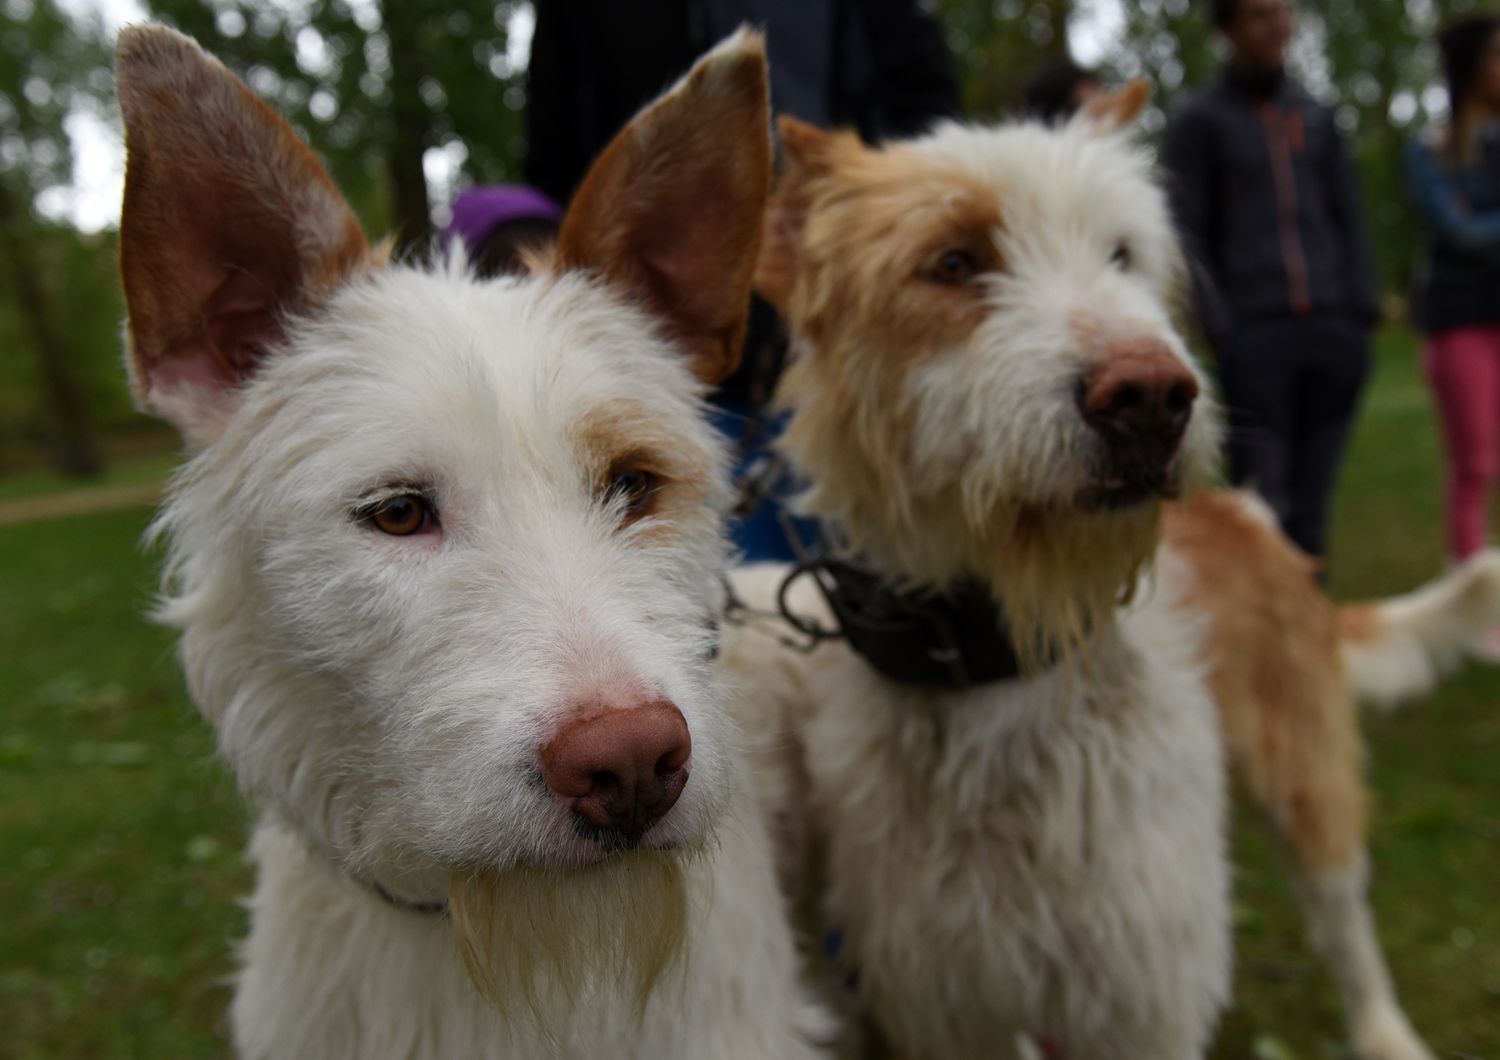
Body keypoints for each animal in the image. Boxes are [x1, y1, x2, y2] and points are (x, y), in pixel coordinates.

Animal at [720, 91, 1494, 1060]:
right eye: (954, 262)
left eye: (1122, 255)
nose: (1154, 395)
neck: (1006, 661)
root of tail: (1248, 516)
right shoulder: (950, 996)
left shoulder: (1141, 992)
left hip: (1301, 761)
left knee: (1342, 915)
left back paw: (1384, 1030)